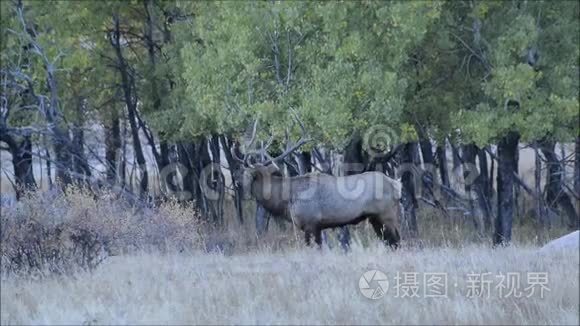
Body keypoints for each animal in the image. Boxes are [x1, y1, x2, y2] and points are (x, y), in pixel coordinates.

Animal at [231, 118, 404, 248]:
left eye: (243, 172)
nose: (235, 180)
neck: (286, 201)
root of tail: (396, 185)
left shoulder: (310, 223)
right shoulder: (318, 227)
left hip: (387, 214)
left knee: (397, 241)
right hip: (375, 219)